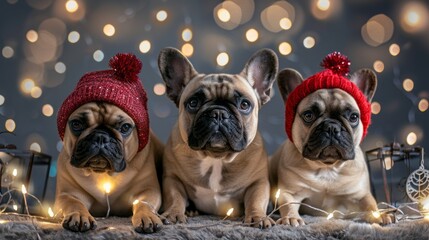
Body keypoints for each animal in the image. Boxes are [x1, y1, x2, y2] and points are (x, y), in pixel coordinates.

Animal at [52, 53, 162, 232]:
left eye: (125, 127)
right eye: (77, 124)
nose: (100, 137)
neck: (103, 175)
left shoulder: (148, 190)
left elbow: (143, 203)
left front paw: (147, 216)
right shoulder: (67, 194)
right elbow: (74, 203)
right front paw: (79, 215)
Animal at [270, 52, 394, 225]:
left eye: (353, 117)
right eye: (308, 115)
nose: (331, 127)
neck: (327, 168)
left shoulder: (361, 194)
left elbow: (371, 203)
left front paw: (379, 215)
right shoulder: (289, 191)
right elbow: (288, 204)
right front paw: (290, 218)